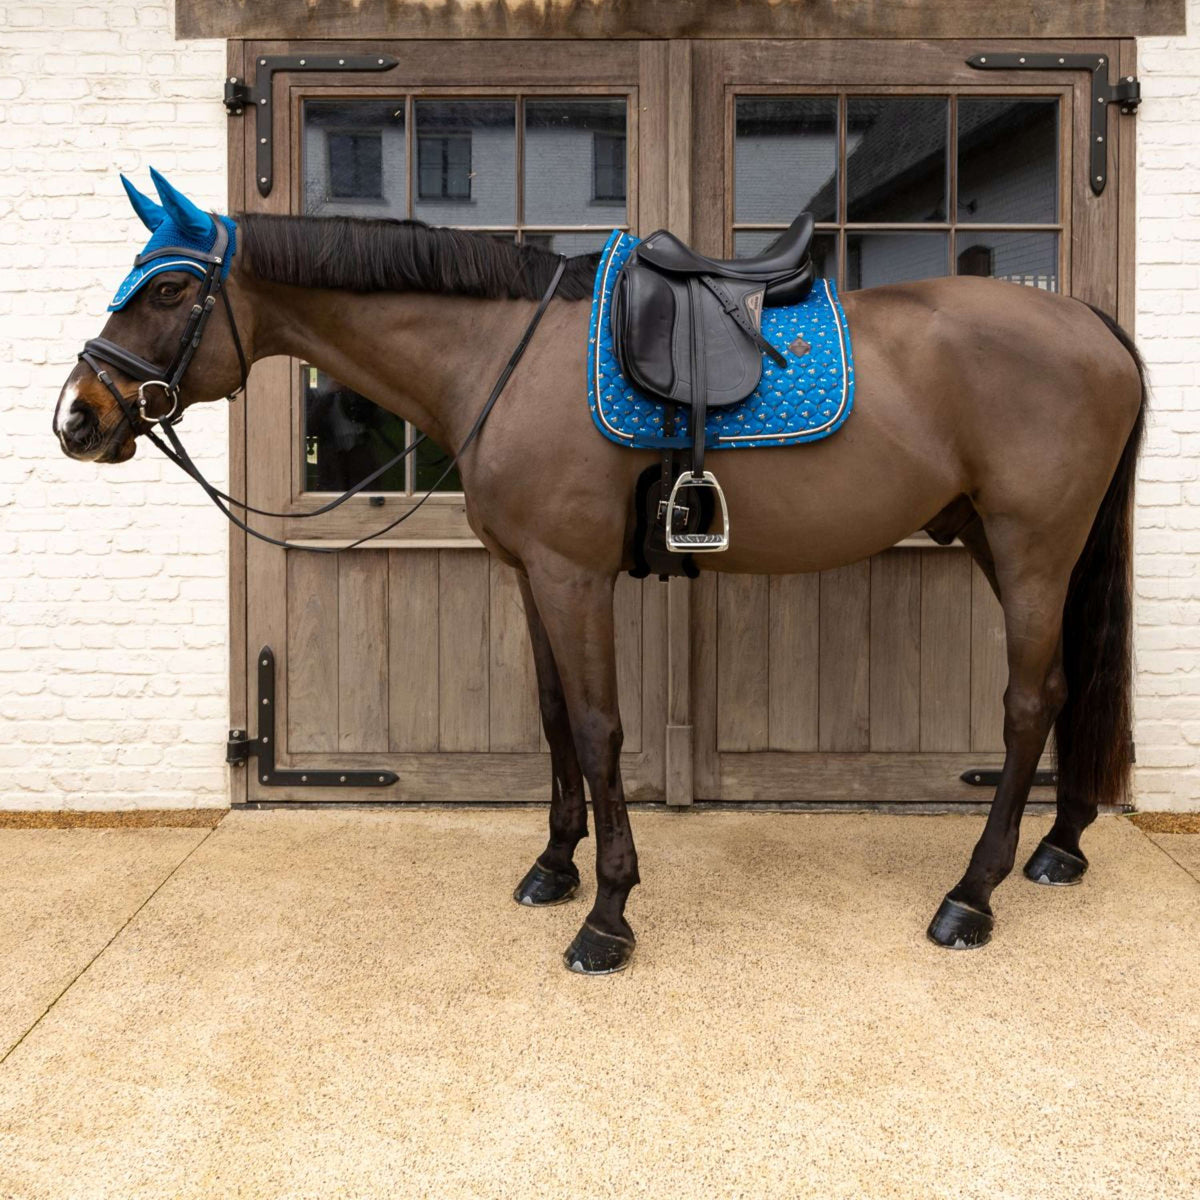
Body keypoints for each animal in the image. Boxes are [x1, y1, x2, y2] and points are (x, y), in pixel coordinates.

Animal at [54, 171, 1145, 974]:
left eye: (167, 288)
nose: (78, 417)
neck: (499, 353)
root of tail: (1093, 325)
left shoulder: (573, 575)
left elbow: (597, 725)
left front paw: (609, 915)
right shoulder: (530, 573)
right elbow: (551, 719)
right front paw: (554, 868)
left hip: (1032, 546)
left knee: (1028, 701)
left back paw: (971, 895)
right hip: (1013, 543)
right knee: (1070, 686)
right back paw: (1060, 846)